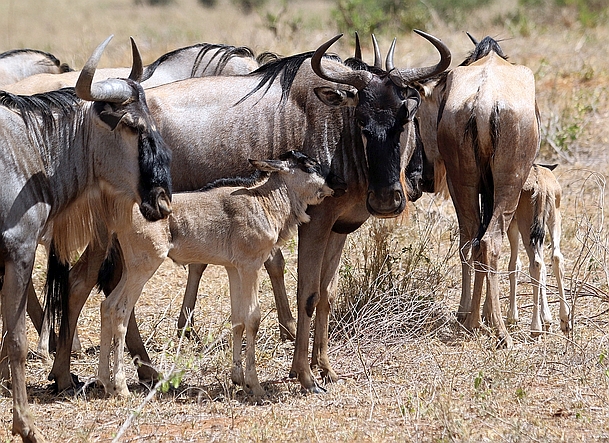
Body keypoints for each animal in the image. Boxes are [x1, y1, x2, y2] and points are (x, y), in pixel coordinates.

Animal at [98, 151, 334, 398]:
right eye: (308, 166)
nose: (331, 188)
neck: (261, 201)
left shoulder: (233, 269)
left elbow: (238, 319)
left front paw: (238, 378)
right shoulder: (250, 266)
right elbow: (252, 319)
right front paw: (255, 385)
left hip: (131, 270)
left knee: (107, 306)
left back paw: (105, 382)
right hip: (143, 268)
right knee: (120, 311)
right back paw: (121, 387)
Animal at [504, 165, 568, 334]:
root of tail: (541, 186)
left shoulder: (512, 226)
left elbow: (514, 265)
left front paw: (512, 317)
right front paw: (547, 319)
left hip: (526, 227)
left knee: (536, 264)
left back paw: (535, 328)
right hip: (554, 219)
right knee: (556, 258)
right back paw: (565, 319)